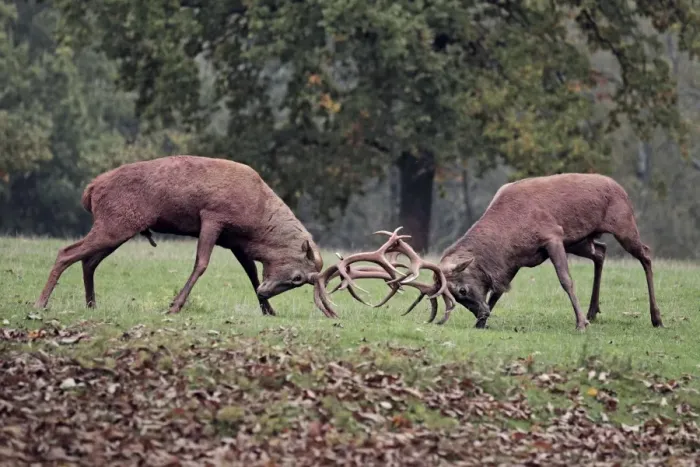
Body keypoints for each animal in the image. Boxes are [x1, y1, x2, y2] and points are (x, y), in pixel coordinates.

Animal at [34, 155, 327, 316]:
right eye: (298, 277)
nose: (265, 293)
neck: (254, 224)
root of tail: (91, 190)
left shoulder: (234, 241)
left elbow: (251, 272)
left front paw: (268, 310)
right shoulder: (213, 216)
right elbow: (202, 263)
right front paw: (174, 305)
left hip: (118, 228)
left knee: (88, 261)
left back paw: (92, 305)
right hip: (115, 224)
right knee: (66, 252)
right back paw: (41, 303)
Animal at [313, 174, 662, 332]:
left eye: (462, 291)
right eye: (457, 298)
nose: (479, 314)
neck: (510, 232)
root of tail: (621, 188)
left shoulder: (552, 236)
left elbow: (565, 280)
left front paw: (578, 324)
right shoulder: (519, 259)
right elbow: (499, 289)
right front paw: (484, 321)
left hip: (622, 223)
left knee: (645, 253)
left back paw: (655, 317)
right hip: (581, 239)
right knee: (601, 252)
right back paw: (594, 311)